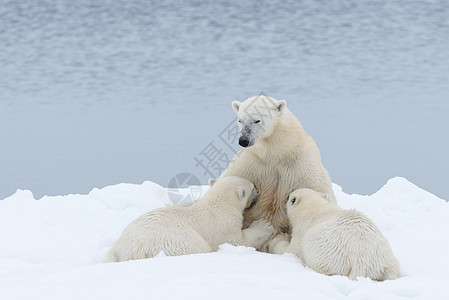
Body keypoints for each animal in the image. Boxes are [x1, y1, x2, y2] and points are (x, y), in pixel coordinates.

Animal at [108, 177, 272, 262]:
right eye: (252, 187)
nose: (259, 190)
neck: (219, 202)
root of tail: (126, 250)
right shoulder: (223, 223)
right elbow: (237, 241)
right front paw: (265, 224)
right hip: (174, 242)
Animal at [214, 95, 336, 248]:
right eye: (240, 120)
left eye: (257, 120)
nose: (243, 140)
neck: (277, 154)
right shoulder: (251, 163)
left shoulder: (302, 164)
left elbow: (319, 189)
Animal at [268, 189, 400, 280]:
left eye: (289, 197)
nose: (285, 197)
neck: (314, 208)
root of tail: (360, 262)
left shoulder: (302, 230)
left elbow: (291, 250)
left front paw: (278, 239)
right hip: (385, 259)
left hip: (328, 253)